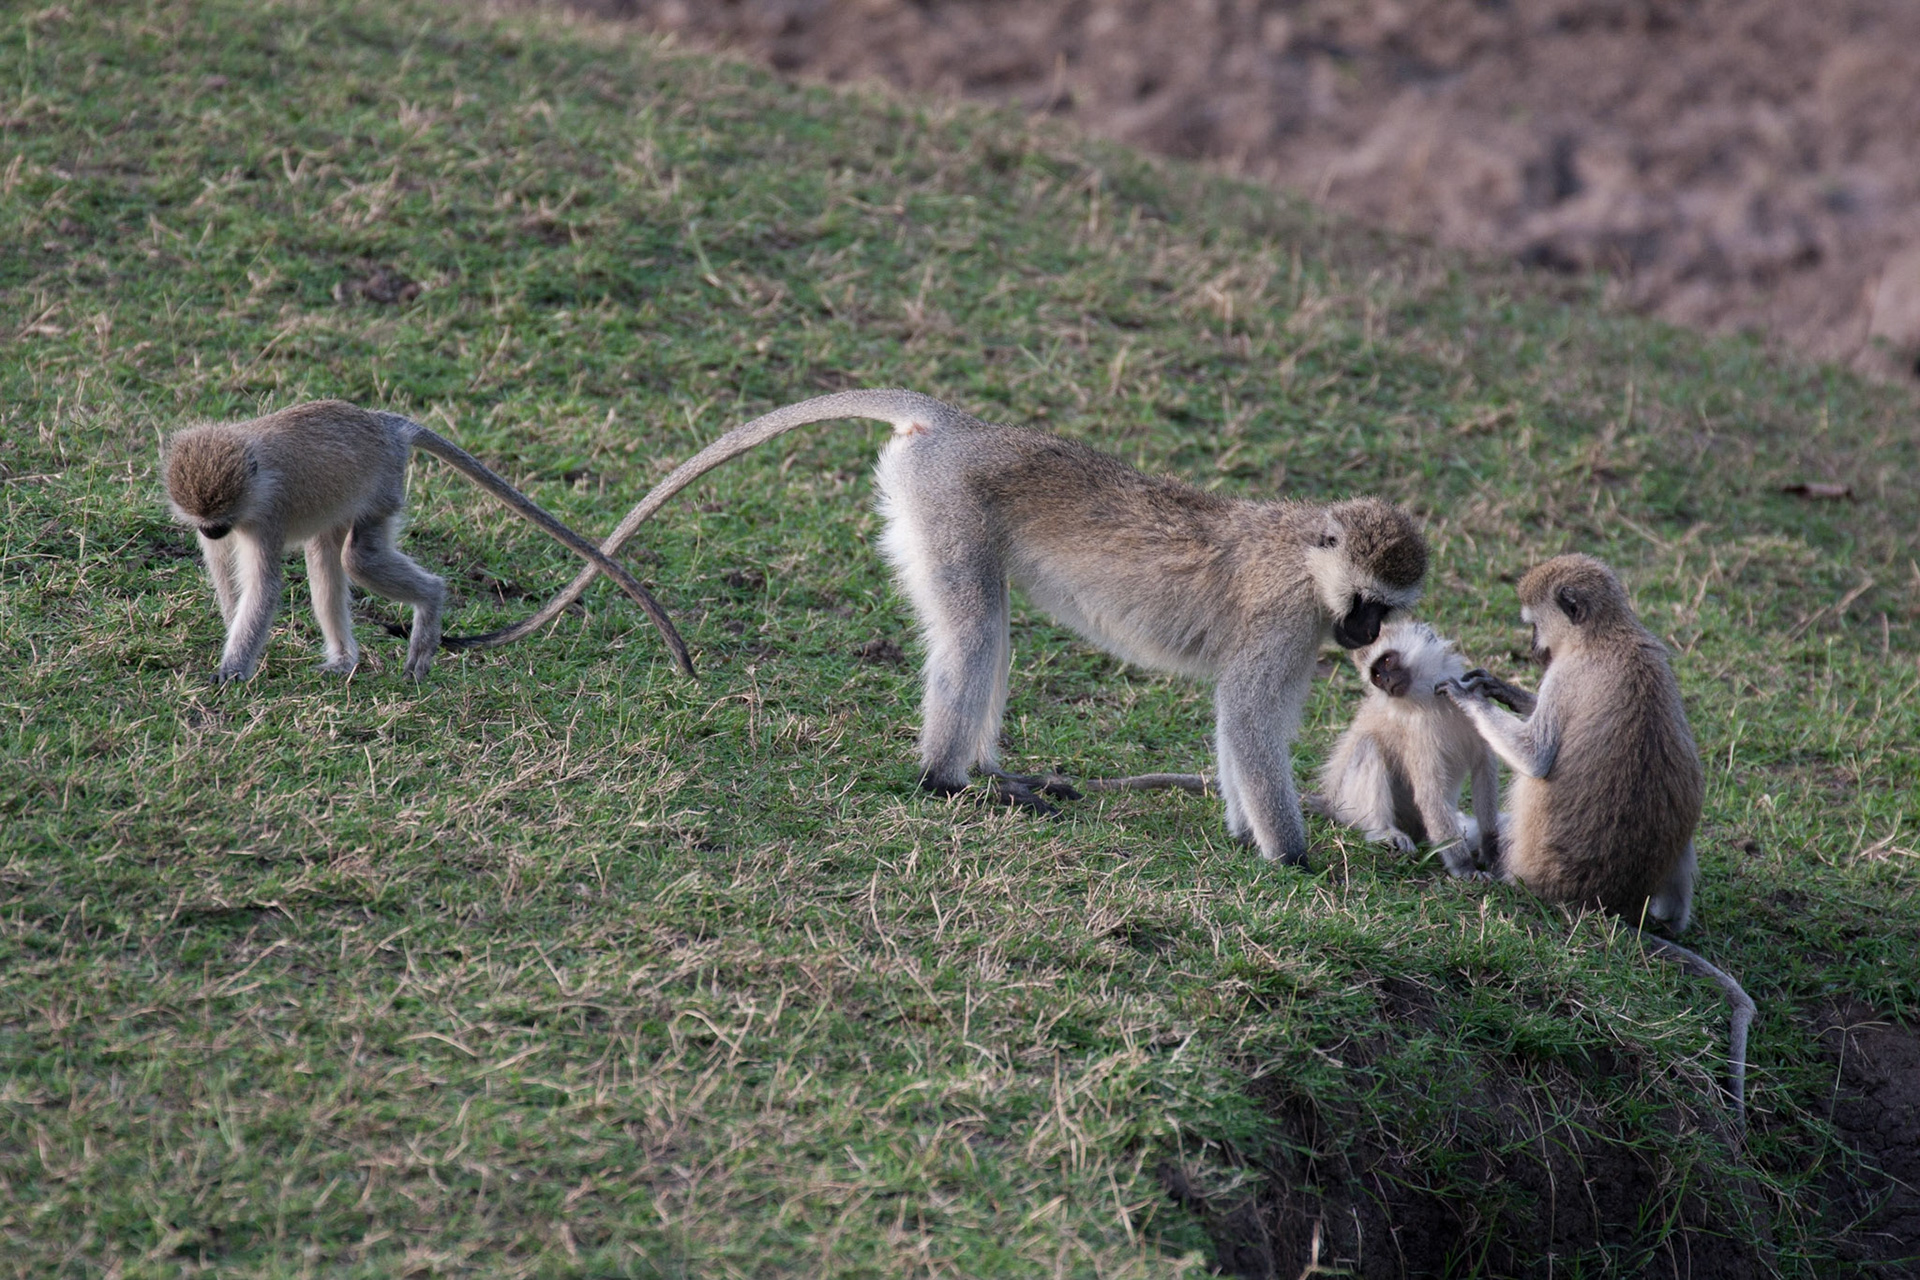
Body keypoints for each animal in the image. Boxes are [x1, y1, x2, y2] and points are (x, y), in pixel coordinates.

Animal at [162, 400, 694, 683]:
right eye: (206, 521)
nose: (210, 529)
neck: (253, 480)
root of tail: (384, 425)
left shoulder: (268, 516)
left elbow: (265, 585)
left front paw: (232, 669)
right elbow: (227, 577)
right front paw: (235, 637)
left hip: (382, 486)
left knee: (359, 558)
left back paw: (430, 607)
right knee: (328, 555)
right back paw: (344, 660)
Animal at [459, 389, 1428, 864]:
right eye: (1368, 601)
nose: (1363, 638)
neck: (1307, 561)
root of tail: (965, 429)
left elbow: (1239, 728)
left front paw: (1242, 831)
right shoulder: (1284, 622)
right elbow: (1250, 722)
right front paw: (1292, 858)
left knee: (984, 623)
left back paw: (993, 769)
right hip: (944, 505)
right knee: (975, 629)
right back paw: (948, 781)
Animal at [1436, 553, 1754, 1127]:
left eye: (1534, 623)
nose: (1534, 649)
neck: (1611, 634)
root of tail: (1600, 904)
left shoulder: (1566, 676)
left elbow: (1536, 755)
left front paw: (1471, 697)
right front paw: (1499, 686)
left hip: (1528, 865)